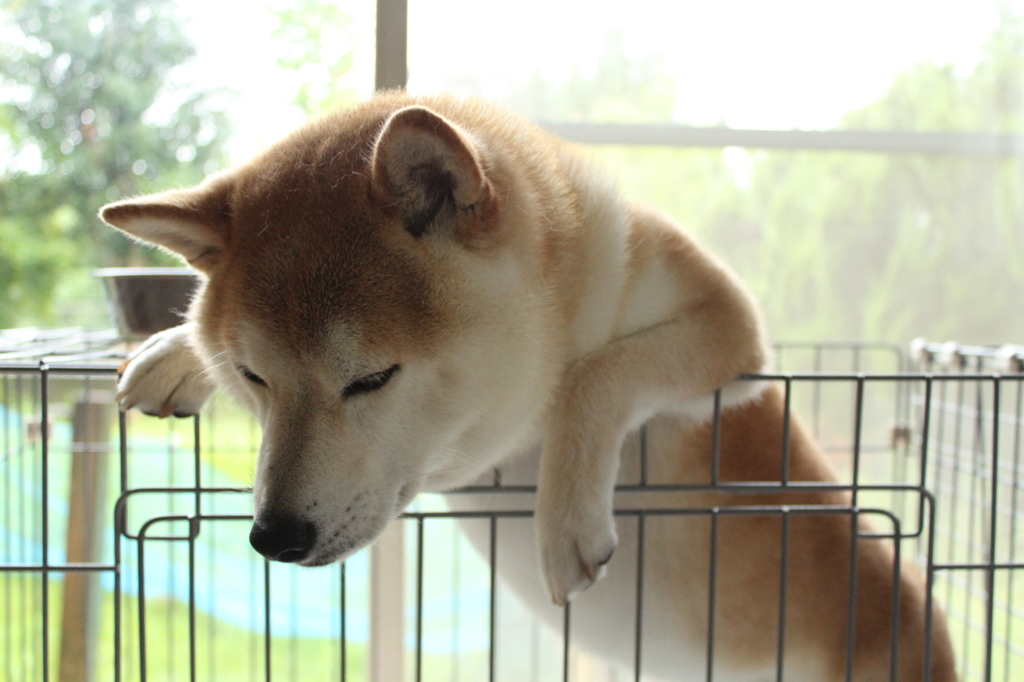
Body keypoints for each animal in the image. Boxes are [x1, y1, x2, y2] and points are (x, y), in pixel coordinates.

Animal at [99, 91, 954, 679]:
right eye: (252, 378)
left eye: (372, 378)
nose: (273, 537)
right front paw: (171, 352)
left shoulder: (731, 327)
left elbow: (595, 373)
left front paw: (565, 519)